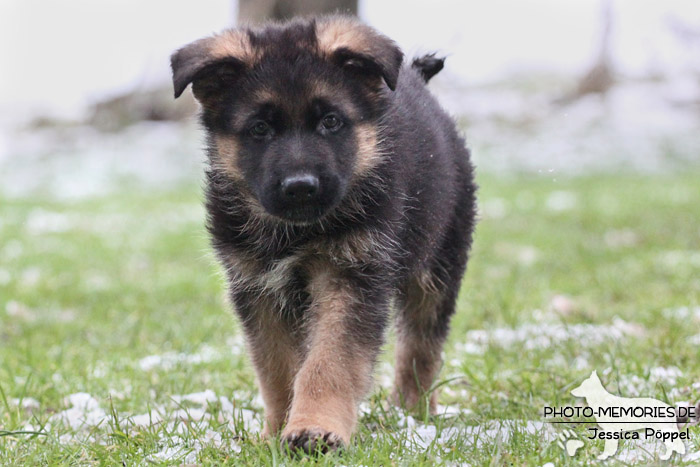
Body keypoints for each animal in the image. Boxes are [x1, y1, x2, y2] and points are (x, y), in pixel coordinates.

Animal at [171, 15, 476, 454]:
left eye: (330, 122)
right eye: (259, 129)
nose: (300, 186)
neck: (295, 233)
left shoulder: (350, 275)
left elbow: (330, 362)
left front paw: (315, 428)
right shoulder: (258, 288)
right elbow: (278, 370)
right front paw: (276, 432)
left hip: (439, 264)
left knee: (421, 345)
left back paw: (412, 411)